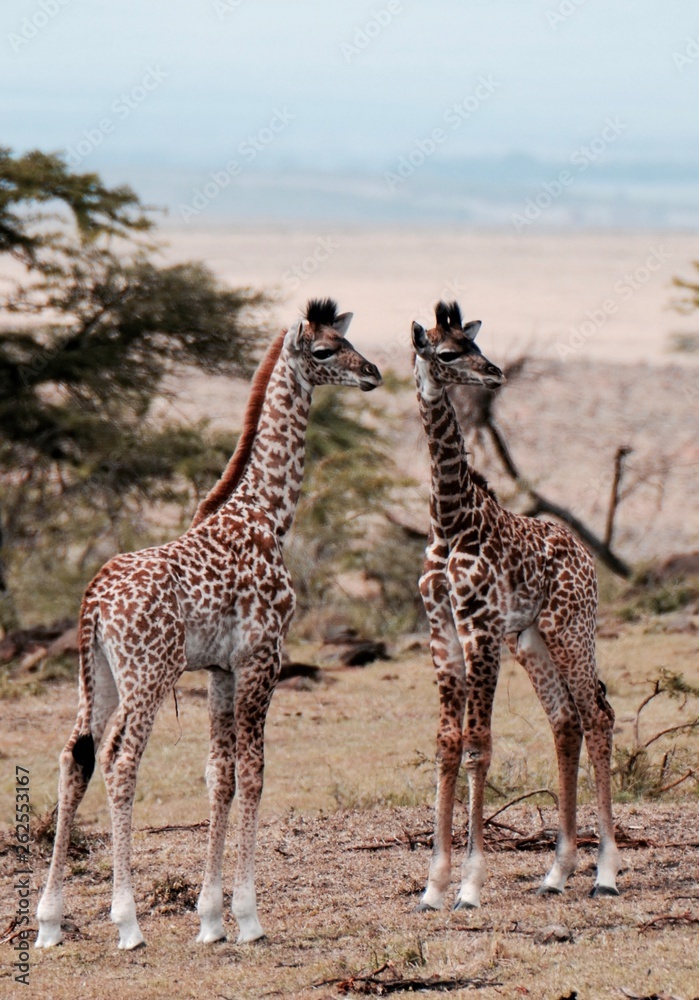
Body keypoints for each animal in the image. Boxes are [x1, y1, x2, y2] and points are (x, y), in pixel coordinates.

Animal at [36, 298, 382, 951]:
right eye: (326, 351)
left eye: (349, 340)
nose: (373, 372)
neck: (268, 514)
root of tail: (94, 600)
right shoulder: (263, 658)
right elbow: (254, 773)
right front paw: (248, 917)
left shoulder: (221, 669)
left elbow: (219, 776)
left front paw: (211, 918)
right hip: (147, 676)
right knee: (120, 764)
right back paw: (127, 922)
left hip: (96, 677)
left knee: (74, 759)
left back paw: (48, 922)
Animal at [412, 300, 620, 912]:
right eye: (447, 352)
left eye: (475, 344)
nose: (495, 373)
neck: (449, 521)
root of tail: (584, 555)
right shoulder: (443, 632)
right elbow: (447, 744)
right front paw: (433, 886)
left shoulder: (479, 629)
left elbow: (478, 746)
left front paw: (469, 886)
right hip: (530, 640)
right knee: (565, 720)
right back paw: (557, 872)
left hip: (570, 628)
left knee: (598, 715)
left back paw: (605, 873)